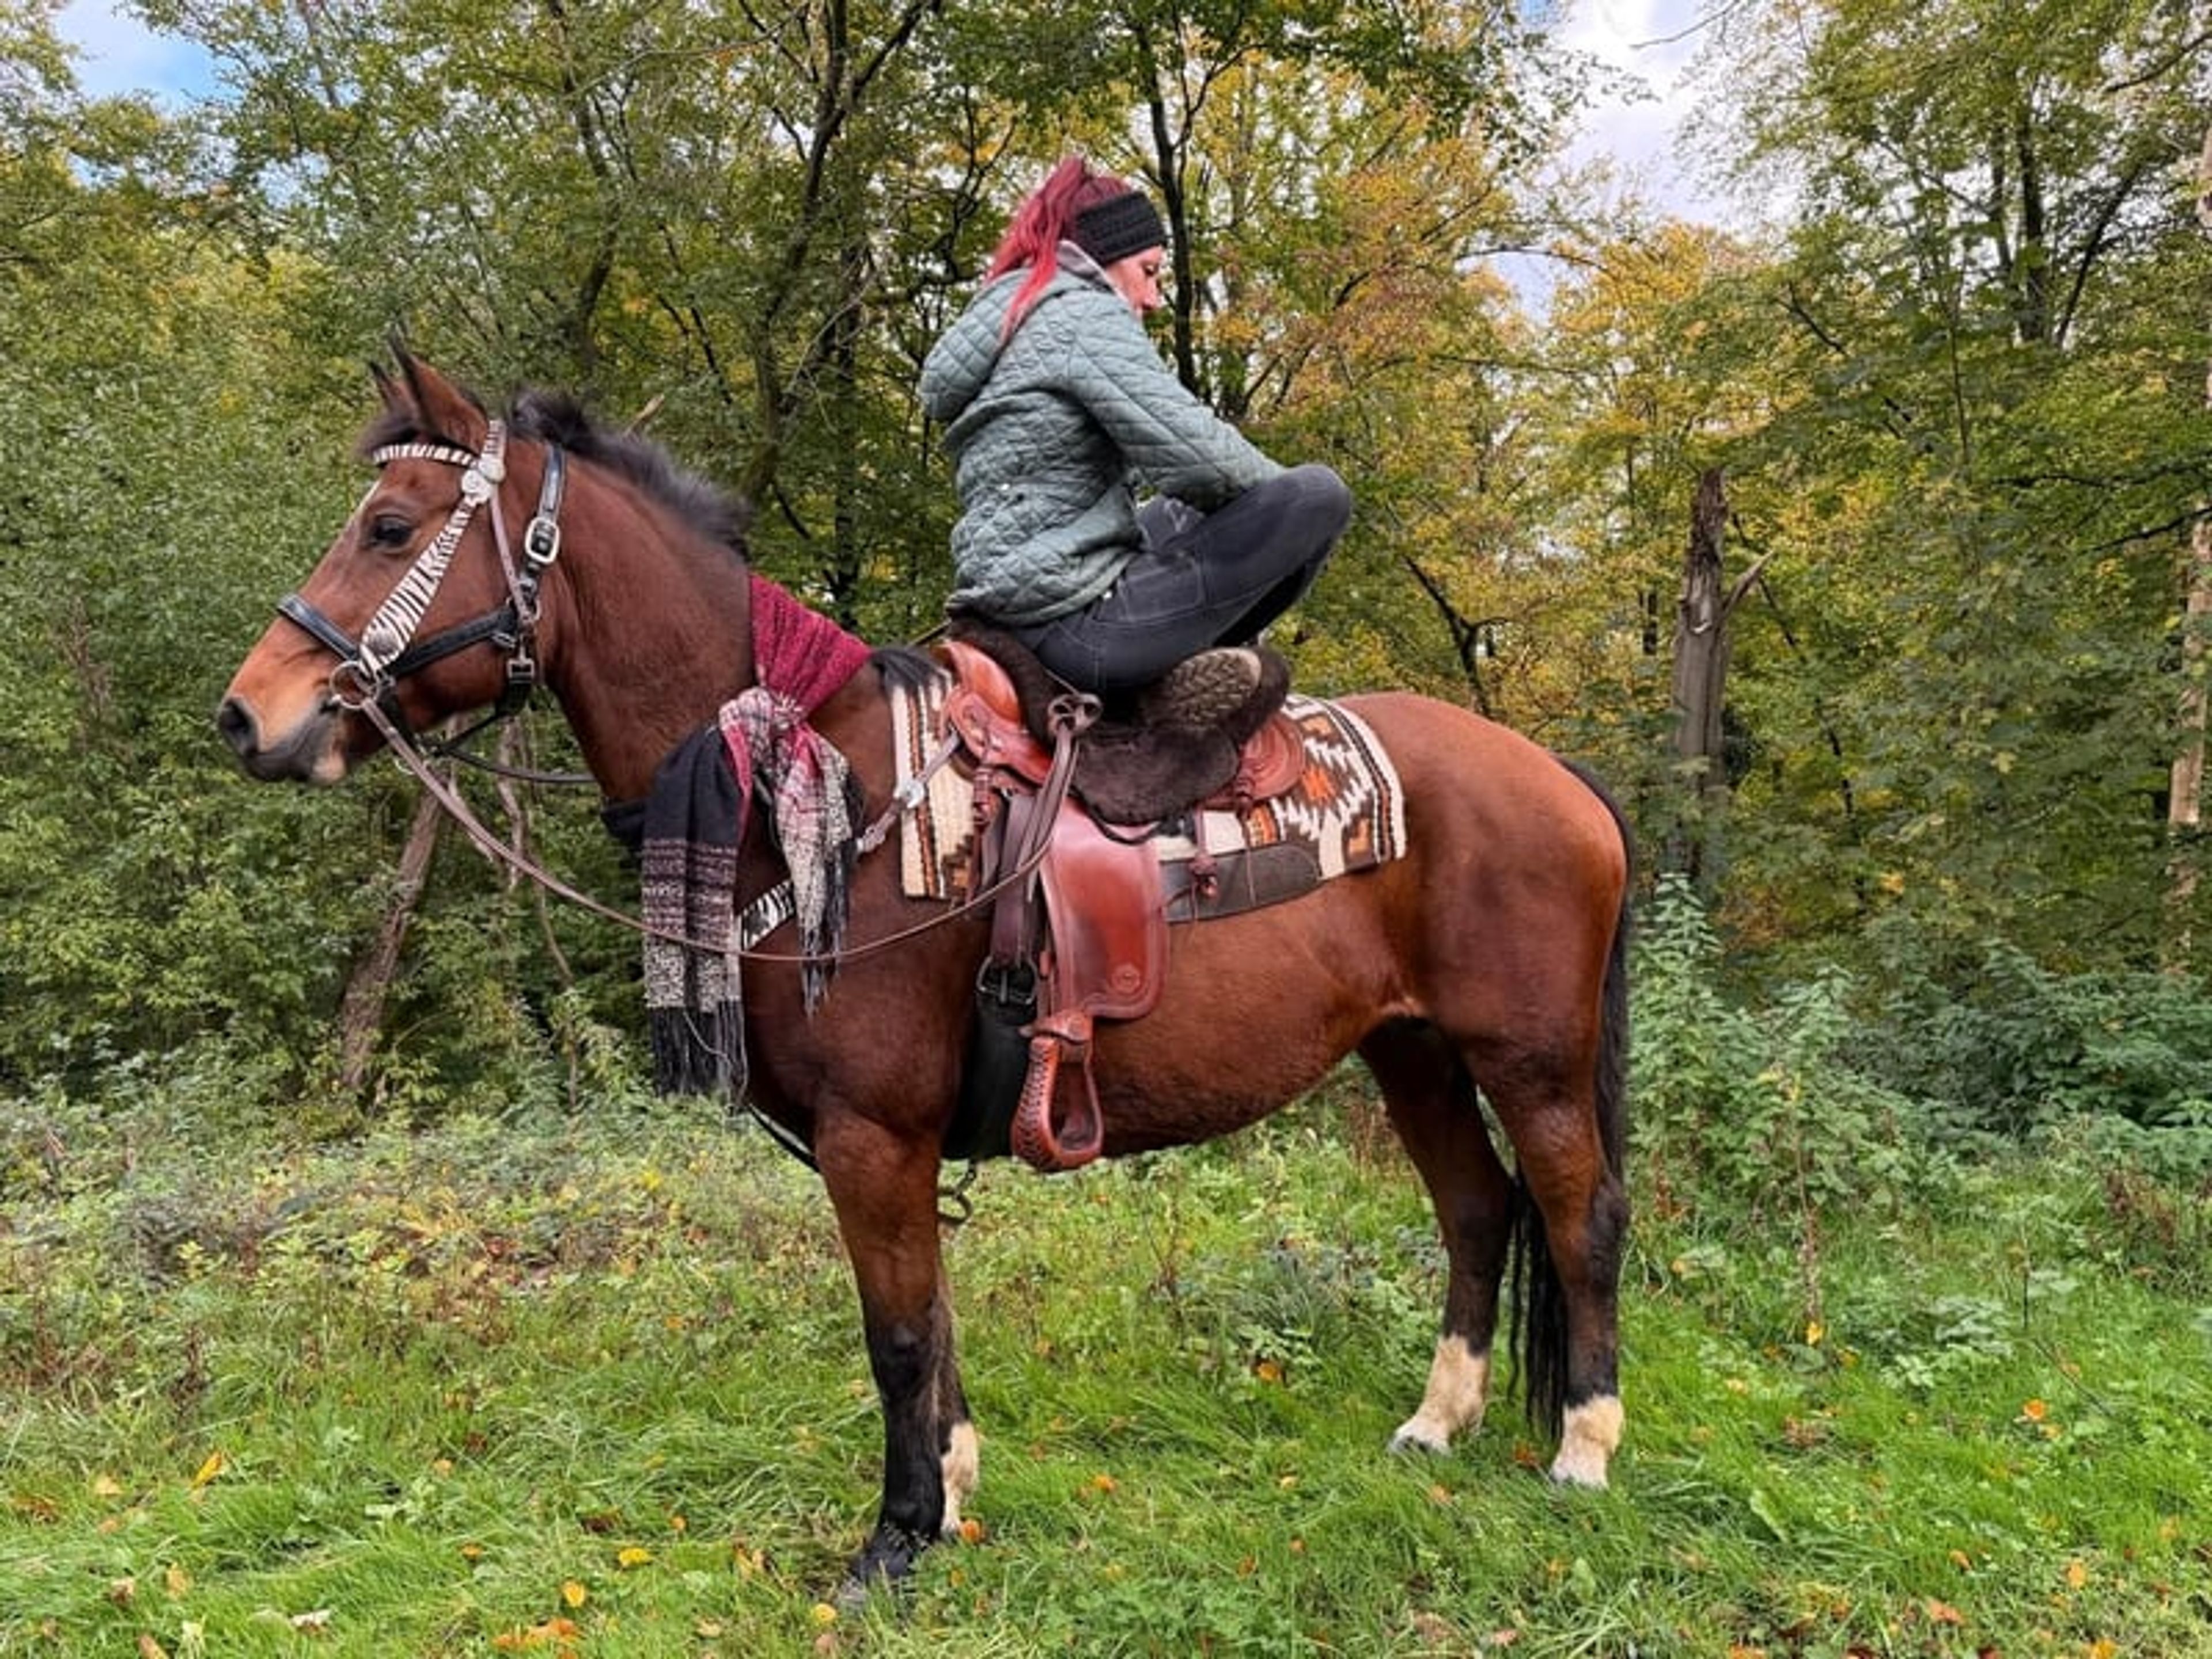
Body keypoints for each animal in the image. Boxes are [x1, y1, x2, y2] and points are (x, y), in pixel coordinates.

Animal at [217, 351, 1633, 1595]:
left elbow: (897, 1337)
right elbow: (937, 1321)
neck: (817, 794)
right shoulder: (890, 1145)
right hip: (1414, 1053)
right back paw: (1438, 1424)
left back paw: (1582, 1447)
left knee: (1583, 1218)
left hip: (1531, 1060)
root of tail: (1555, 775)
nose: (246, 714)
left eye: (390, 526)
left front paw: (895, 1538)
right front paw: (950, 1493)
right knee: (1477, 1212)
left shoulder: (873, 1134)